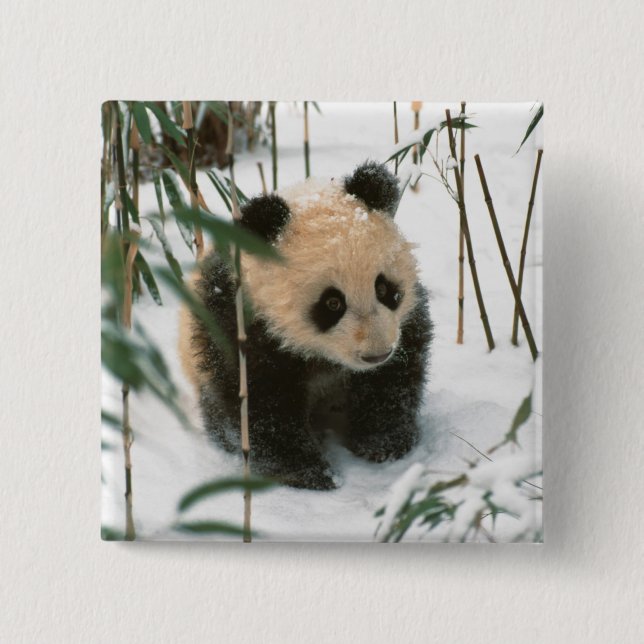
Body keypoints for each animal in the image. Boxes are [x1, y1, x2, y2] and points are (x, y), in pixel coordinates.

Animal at [179, 160, 433, 490]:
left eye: (384, 289)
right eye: (332, 303)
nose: (376, 354)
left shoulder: (404, 324)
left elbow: (393, 379)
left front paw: (384, 443)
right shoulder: (239, 325)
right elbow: (260, 403)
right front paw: (308, 472)